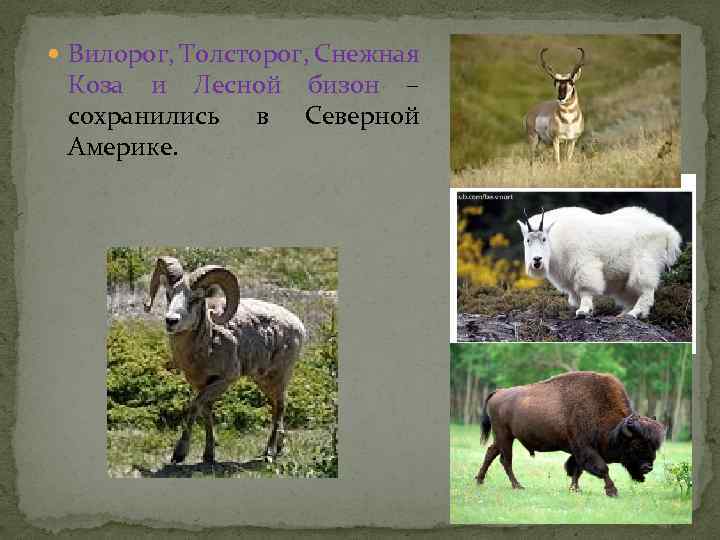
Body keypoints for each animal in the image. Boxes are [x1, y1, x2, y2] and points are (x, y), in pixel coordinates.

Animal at [143, 256, 306, 463]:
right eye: (168, 295)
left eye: (195, 299)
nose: (171, 321)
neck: (207, 344)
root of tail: (299, 326)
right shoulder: (201, 384)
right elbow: (206, 412)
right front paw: (208, 455)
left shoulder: (224, 380)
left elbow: (194, 406)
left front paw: (179, 454)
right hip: (264, 381)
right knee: (279, 406)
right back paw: (279, 448)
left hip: (278, 376)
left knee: (279, 408)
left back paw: (269, 453)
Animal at [517, 207, 682, 319]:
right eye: (527, 240)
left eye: (544, 239)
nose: (537, 260)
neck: (556, 241)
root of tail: (668, 232)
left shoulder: (584, 264)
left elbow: (586, 289)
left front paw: (583, 311)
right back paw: (624, 313)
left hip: (646, 263)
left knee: (646, 290)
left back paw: (634, 313)